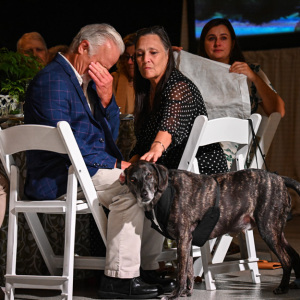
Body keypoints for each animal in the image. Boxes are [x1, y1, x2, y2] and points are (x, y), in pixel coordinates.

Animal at [119, 162, 300, 300]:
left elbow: (181, 273)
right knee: (294, 255)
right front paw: (187, 293)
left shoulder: (182, 239)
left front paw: (175, 294)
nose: (144, 194)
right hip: (277, 233)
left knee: (286, 259)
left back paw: (282, 288)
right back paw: (294, 283)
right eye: (133, 179)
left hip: (268, 231)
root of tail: (279, 178)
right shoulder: (187, 241)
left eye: (149, 175)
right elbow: (189, 271)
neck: (164, 192)